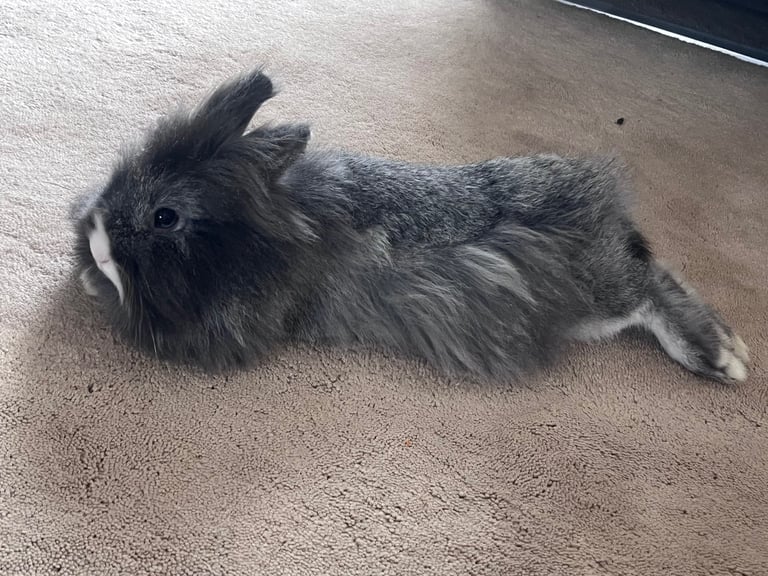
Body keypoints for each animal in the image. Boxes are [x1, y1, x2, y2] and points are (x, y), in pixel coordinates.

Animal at [71, 69, 749, 384]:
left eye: (165, 217)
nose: (96, 244)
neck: (276, 227)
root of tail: (606, 214)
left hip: (600, 300)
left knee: (652, 288)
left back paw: (725, 357)